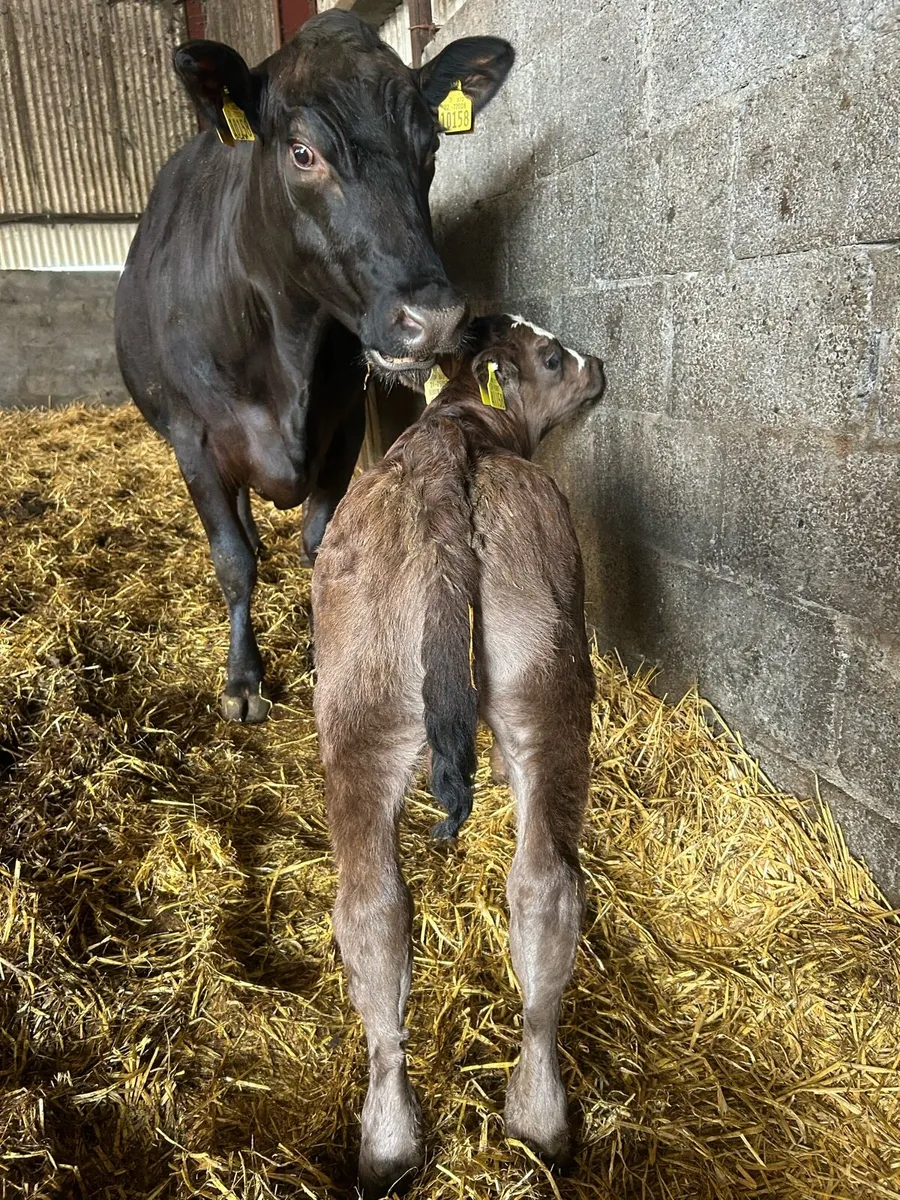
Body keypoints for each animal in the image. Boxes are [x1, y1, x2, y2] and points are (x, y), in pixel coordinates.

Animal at [115, 11, 513, 722]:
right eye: (303, 152)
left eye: (431, 151)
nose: (435, 316)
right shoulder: (194, 439)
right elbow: (231, 560)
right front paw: (244, 679)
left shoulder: (343, 425)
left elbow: (320, 540)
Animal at [311, 316, 605, 1196]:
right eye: (552, 356)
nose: (599, 366)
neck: (464, 417)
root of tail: (448, 461)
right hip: (550, 688)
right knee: (544, 887)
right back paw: (538, 1122)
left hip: (365, 712)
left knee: (375, 908)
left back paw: (394, 1142)